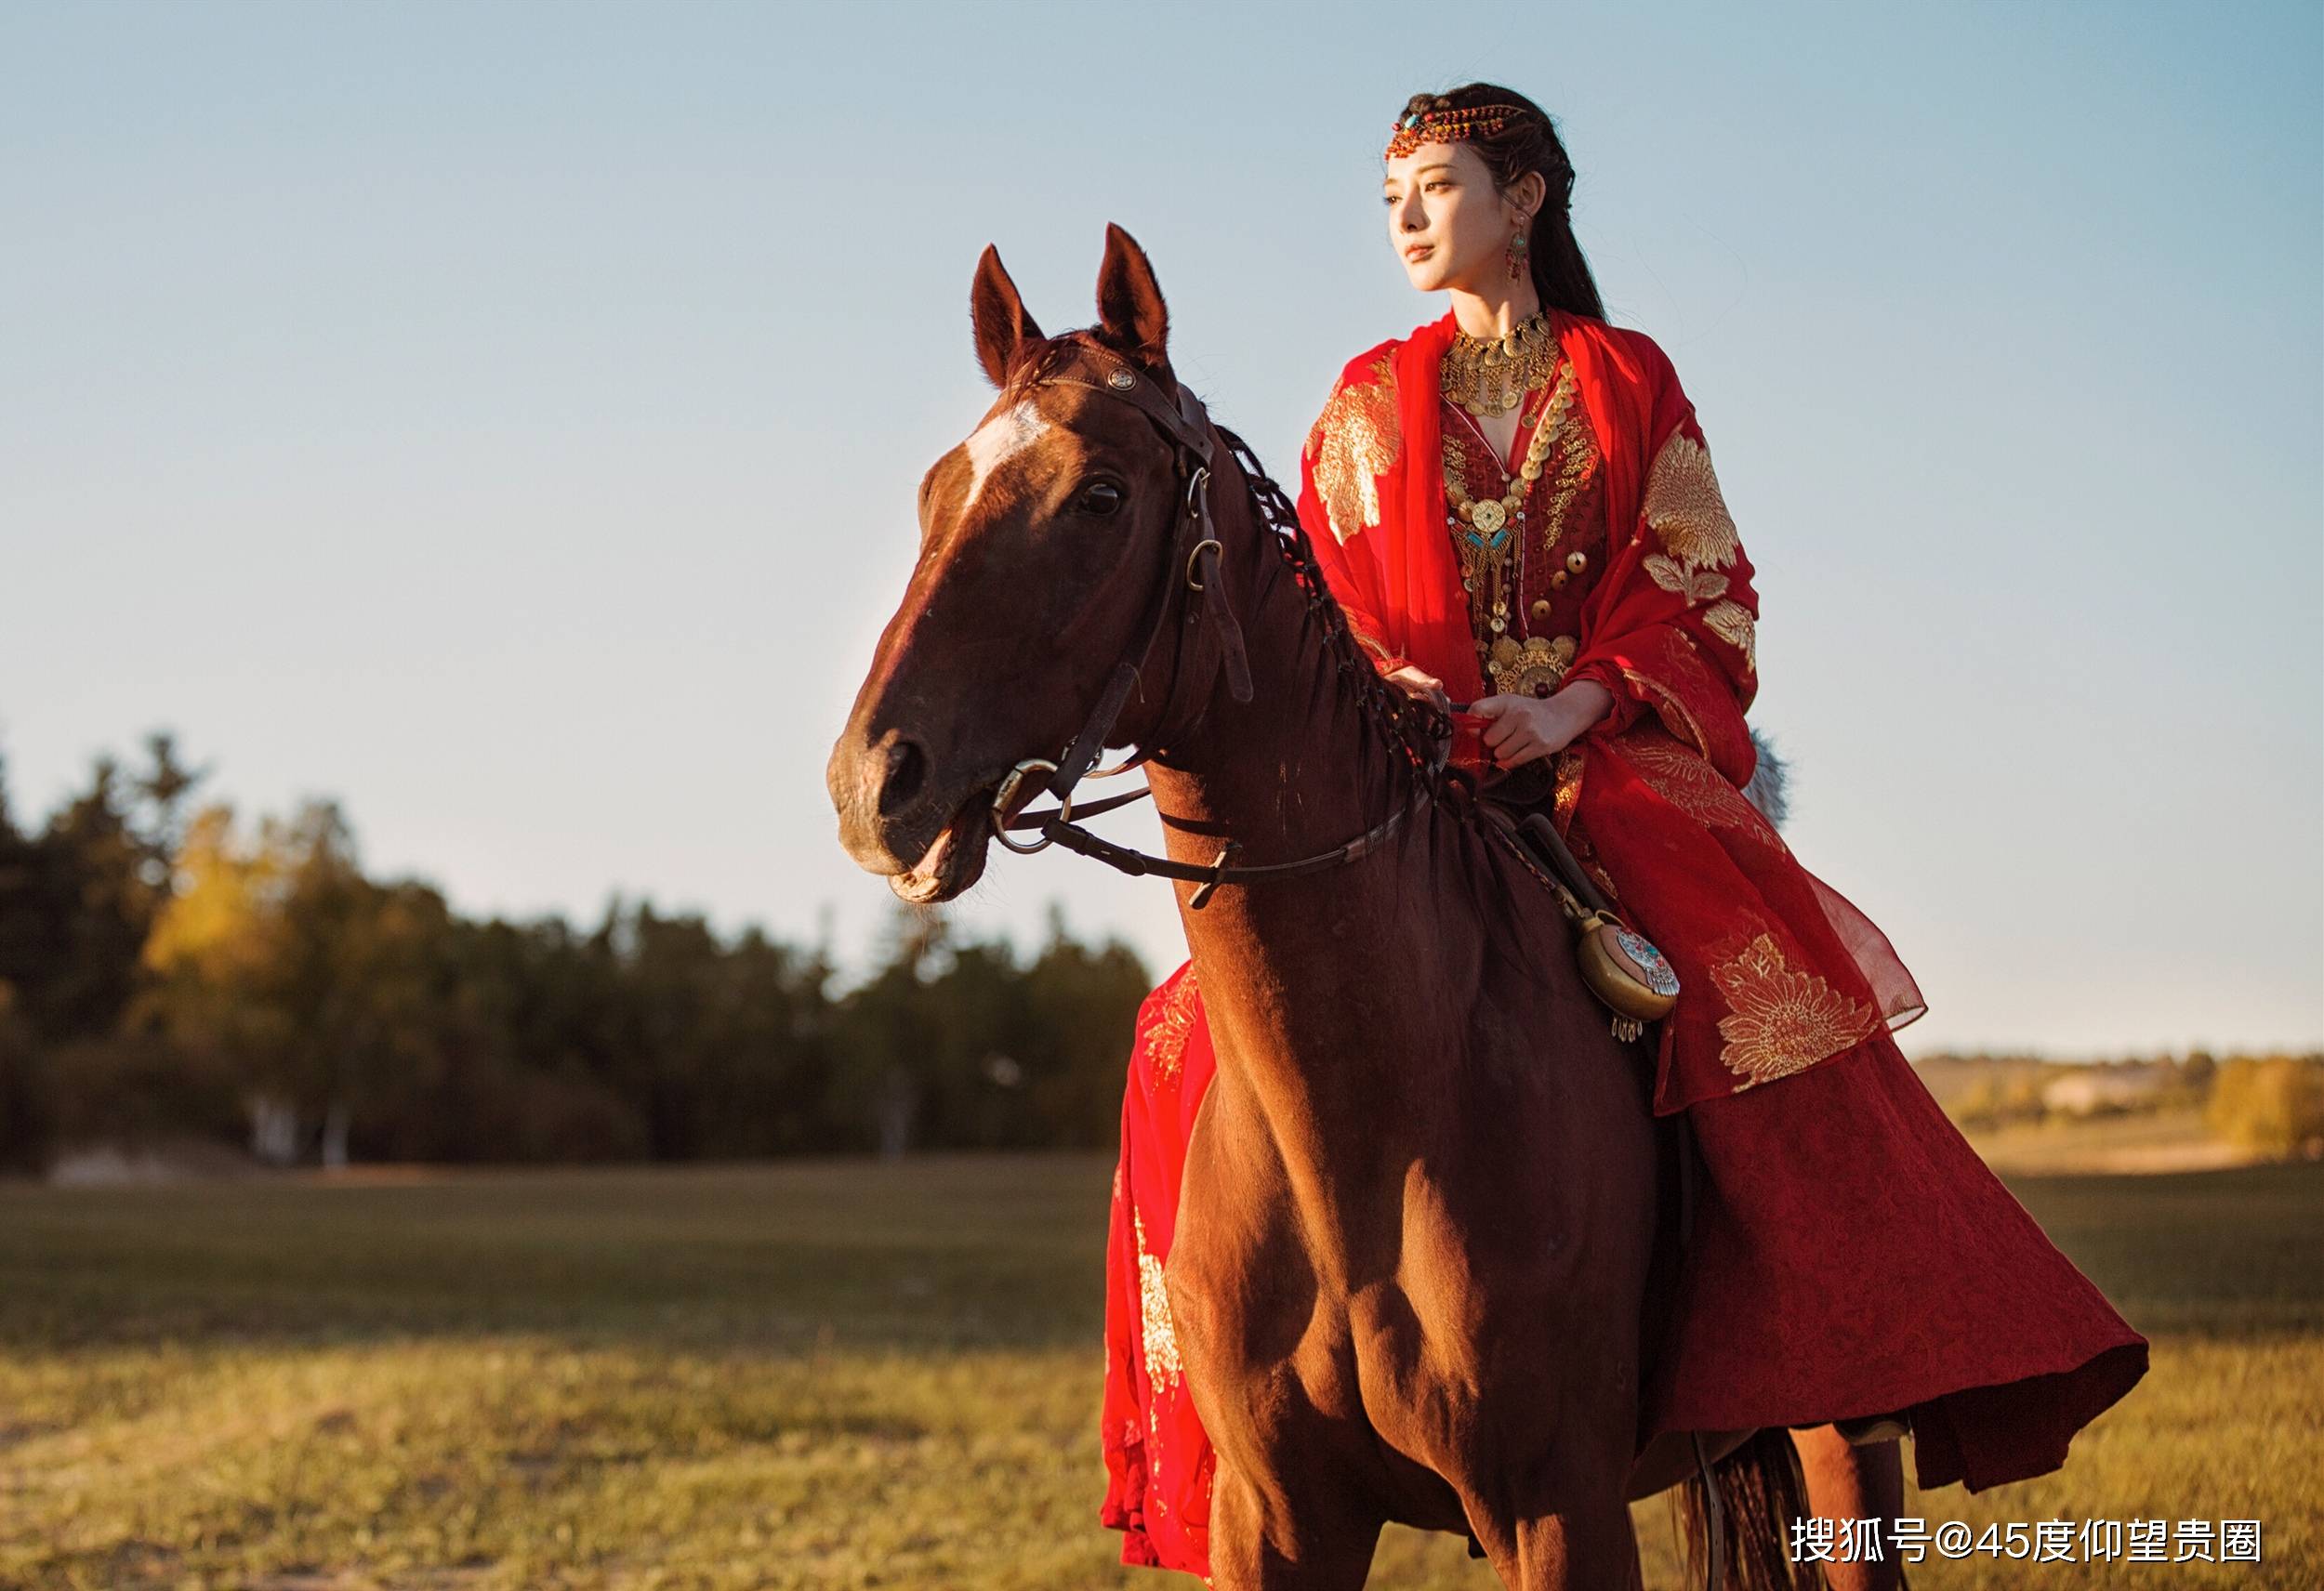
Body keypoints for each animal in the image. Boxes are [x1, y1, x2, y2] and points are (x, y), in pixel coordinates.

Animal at [832, 226, 1794, 1588]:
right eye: (935, 492)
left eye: (1100, 497)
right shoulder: (1277, 1515)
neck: (1369, 1132)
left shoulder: (1561, 1509)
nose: (875, 784)